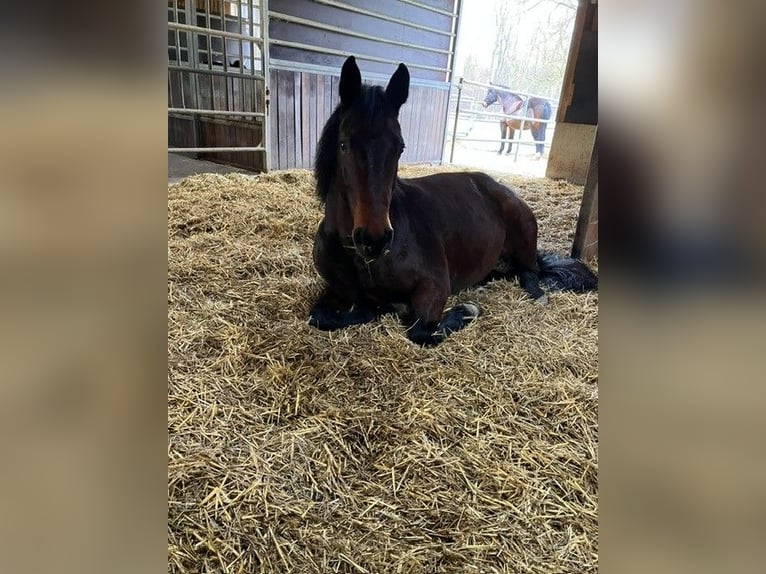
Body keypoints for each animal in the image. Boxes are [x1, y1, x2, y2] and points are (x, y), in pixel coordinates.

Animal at [308, 56, 597, 346]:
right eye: (343, 145)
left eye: (400, 147)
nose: (374, 238)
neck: (363, 261)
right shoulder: (336, 291)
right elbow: (321, 316)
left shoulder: (434, 285)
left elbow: (421, 330)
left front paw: (467, 310)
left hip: (524, 239)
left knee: (530, 272)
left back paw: (537, 294)